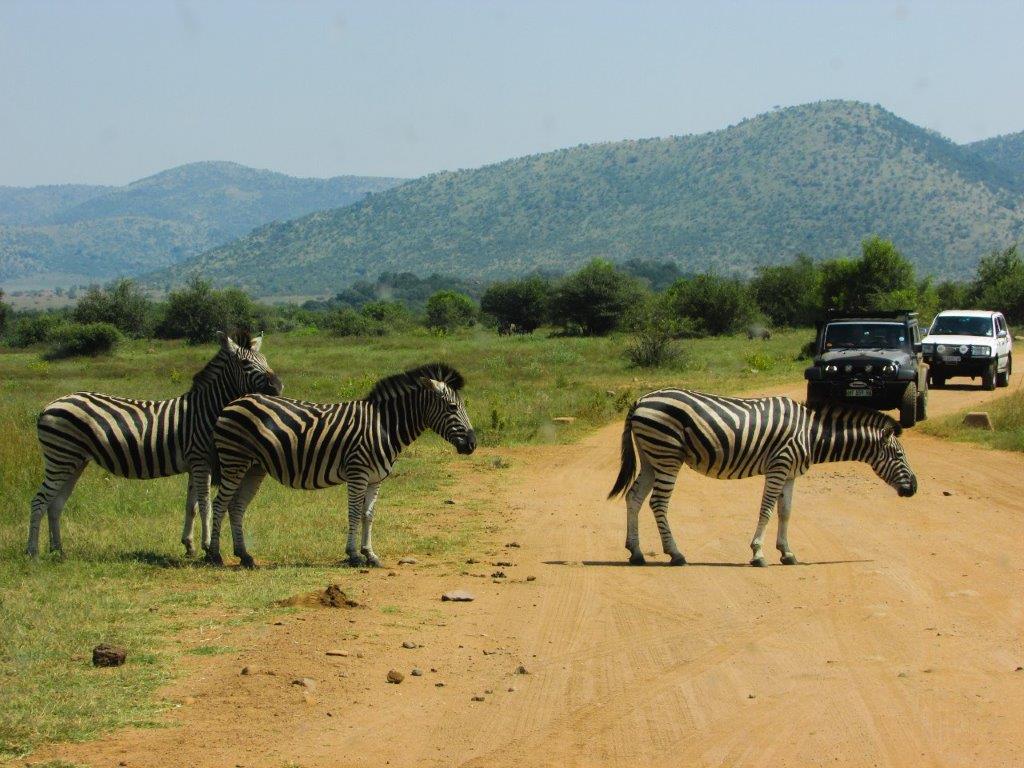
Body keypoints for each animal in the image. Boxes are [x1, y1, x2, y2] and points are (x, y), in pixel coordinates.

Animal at [28, 331, 283, 558]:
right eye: (245, 363)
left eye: (265, 360)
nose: (278, 386)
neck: (206, 411)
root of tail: (48, 406)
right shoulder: (201, 460)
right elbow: (205, 505)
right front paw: (208, 546)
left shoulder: (195, 464)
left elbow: (191, 506)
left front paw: (189, 545)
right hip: (61, 457)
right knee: (39, 501)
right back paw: (33, 552)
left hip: (74, 461)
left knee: (55, 504)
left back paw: (58, 550)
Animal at [205, 362, 476, 568]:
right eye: (453, 407)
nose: (472, 443)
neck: (384, 426)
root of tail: (235, 401)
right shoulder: (358, 473)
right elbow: (354, 513)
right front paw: (354, 555)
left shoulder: (375, 478)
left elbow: (368, 515)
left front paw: (370, 554)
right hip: (233, 460)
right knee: (219, 504)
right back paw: (214, 555)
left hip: (253, 468)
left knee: (236, 506)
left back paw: (244, 556)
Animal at [608, 389, 917, 567]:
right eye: (899, 455)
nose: (914, 488)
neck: (811, 434)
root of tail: (640, 400)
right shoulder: (779, 466)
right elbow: (767, 510)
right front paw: (758, 553)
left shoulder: (791, 474)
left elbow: (786, 512)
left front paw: (787, 553)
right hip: (667, 455)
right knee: (658, 503)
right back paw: (676, 554)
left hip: (651, 456)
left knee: (634, 497)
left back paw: (636, 553)